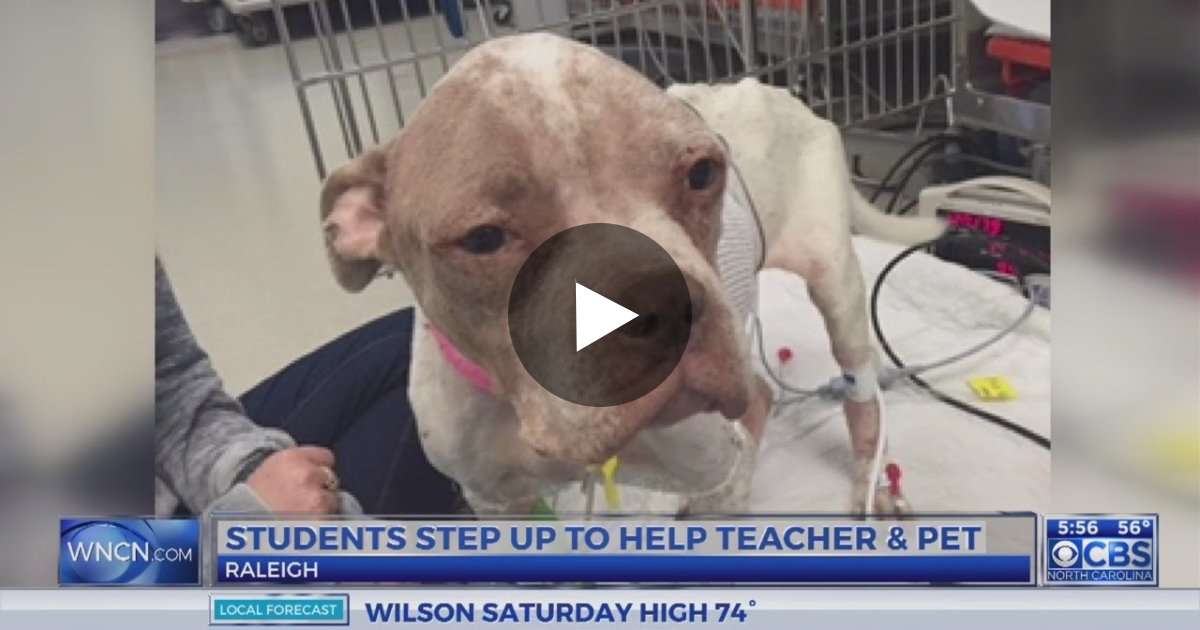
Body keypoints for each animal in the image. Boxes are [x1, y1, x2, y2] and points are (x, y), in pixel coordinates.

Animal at [317, 33, 943, 515]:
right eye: (484, 239)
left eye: (702, 173)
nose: (666, 302)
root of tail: (776, 88)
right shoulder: (497, 502)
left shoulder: (713, 471)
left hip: (834, 279)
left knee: (859, 393)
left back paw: (870, 483)